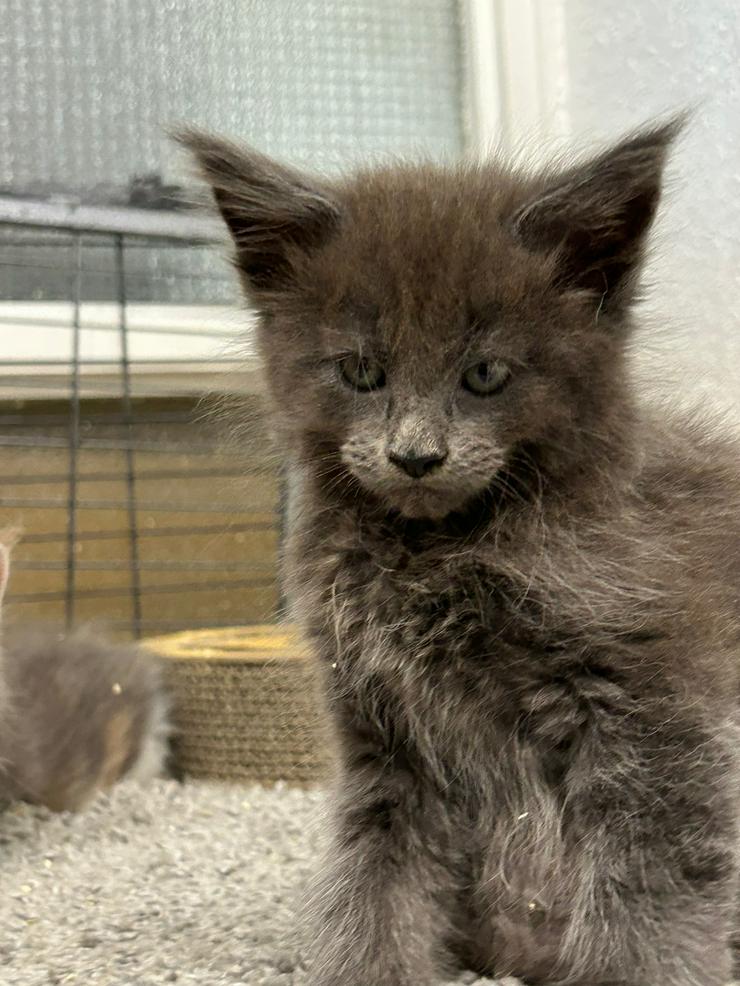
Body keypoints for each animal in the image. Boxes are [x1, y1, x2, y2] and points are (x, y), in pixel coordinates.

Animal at [184, 123, 740, 984]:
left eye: (485, 374)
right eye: (360, 371)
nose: (416, 455)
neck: (436, 552)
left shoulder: (654, 702)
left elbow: (653, 879)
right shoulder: (382, 736)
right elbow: (371, 879)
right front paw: (367, 967)